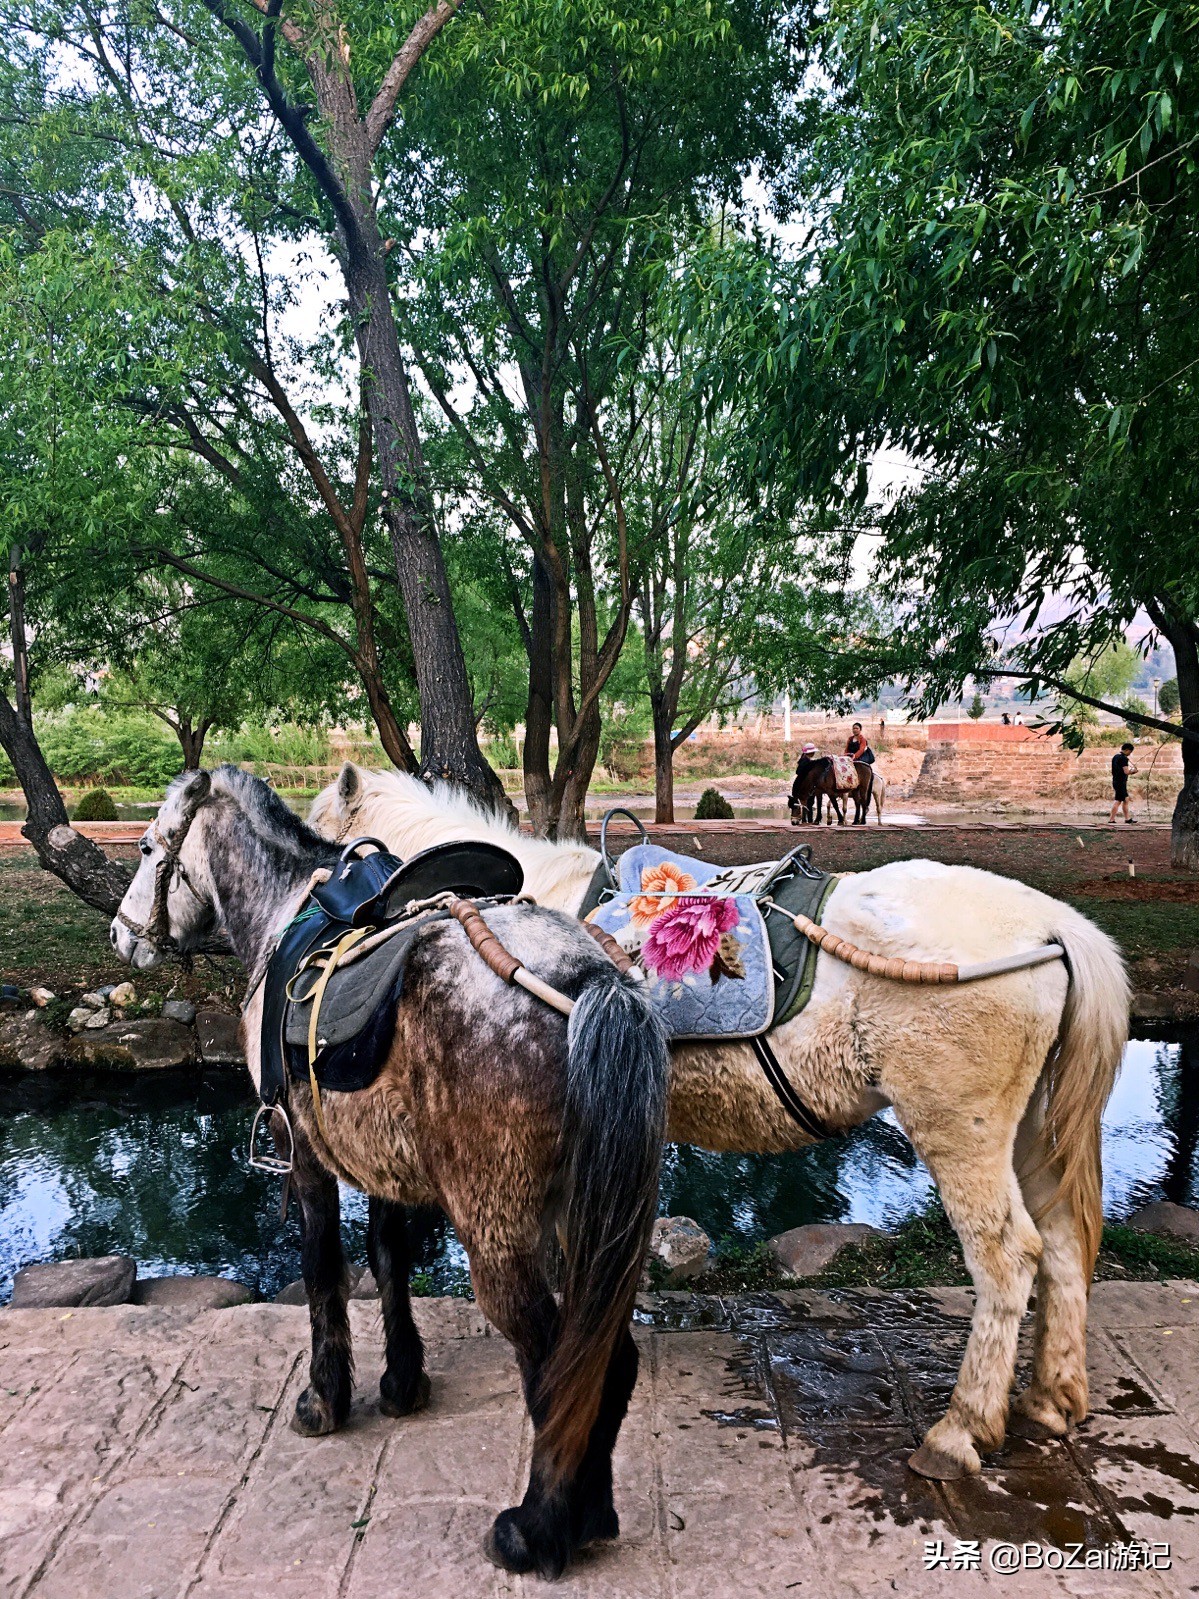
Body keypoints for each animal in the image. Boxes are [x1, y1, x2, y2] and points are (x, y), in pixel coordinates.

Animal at [306, 764, 1125, 1483]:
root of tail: (1049, 923)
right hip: (1032, 1128)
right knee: (1059, 1241)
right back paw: (1051, 1400)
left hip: (960, 1130)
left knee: (1007, 1257)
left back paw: (959, 1433)